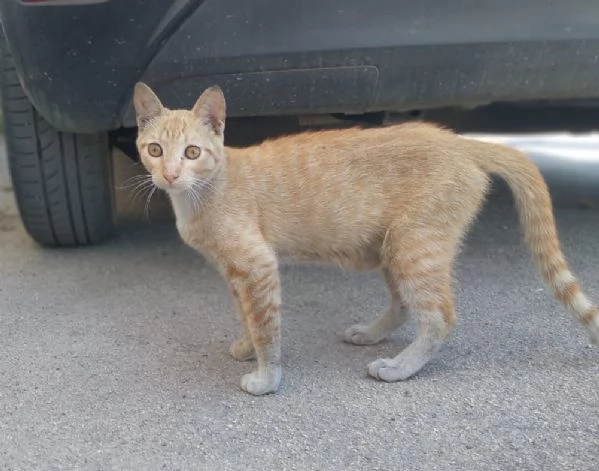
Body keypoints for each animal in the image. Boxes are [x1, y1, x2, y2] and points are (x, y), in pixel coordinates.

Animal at [134, 83, 596, 396]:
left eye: (192, 152)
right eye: (155, 150)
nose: (169, 175)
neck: (203, 193)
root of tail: (458, 141)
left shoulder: (256, 265)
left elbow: (266, 326)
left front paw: (267, 376)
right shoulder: (236, 273)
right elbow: (248, 316)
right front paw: (248, 346)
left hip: (413, 245)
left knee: (439, 316)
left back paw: (401, 367)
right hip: (394, 247)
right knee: (405, 304)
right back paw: (373, 334)